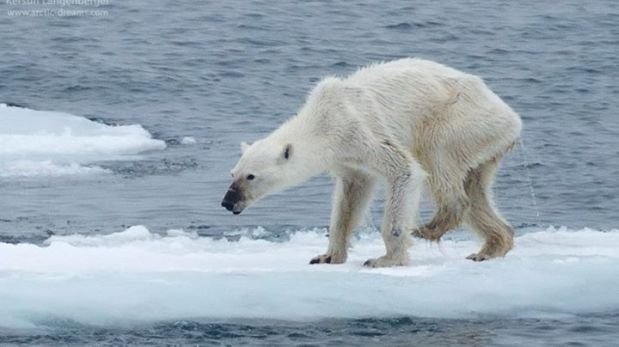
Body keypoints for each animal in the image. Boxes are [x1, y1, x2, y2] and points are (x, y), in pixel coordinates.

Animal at [223, 58, 524, 268]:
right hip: (484, 143)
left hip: (460, 121)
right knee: (476, 190)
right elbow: (350, 198)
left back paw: (430, 227)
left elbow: (404, 171)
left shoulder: (359, 130)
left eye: (251, 176)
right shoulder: (347, 159)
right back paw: (490, 247)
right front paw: (327, 256)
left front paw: (385, 259)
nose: (227, 201)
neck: (323, 120)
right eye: (232, 173)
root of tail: (512, 118)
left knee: (438, 158)